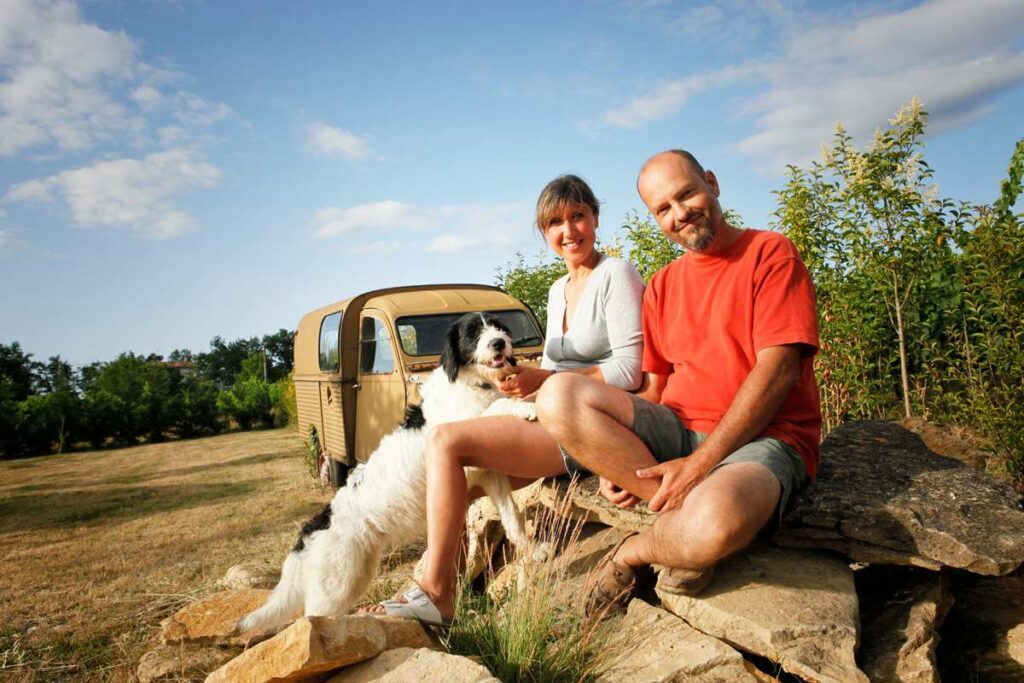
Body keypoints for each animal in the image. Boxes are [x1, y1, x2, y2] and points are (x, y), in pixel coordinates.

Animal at [238, 313, 540, 634]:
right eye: (472, 332)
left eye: (498, 326)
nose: (499, 343)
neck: (471, 383)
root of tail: (316, 524)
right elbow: (499, 404)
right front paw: (527, 407)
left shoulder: (491, 477)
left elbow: (513, 519)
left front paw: (533, 551)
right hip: (334, 586)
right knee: (311, 617)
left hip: (354, 576)